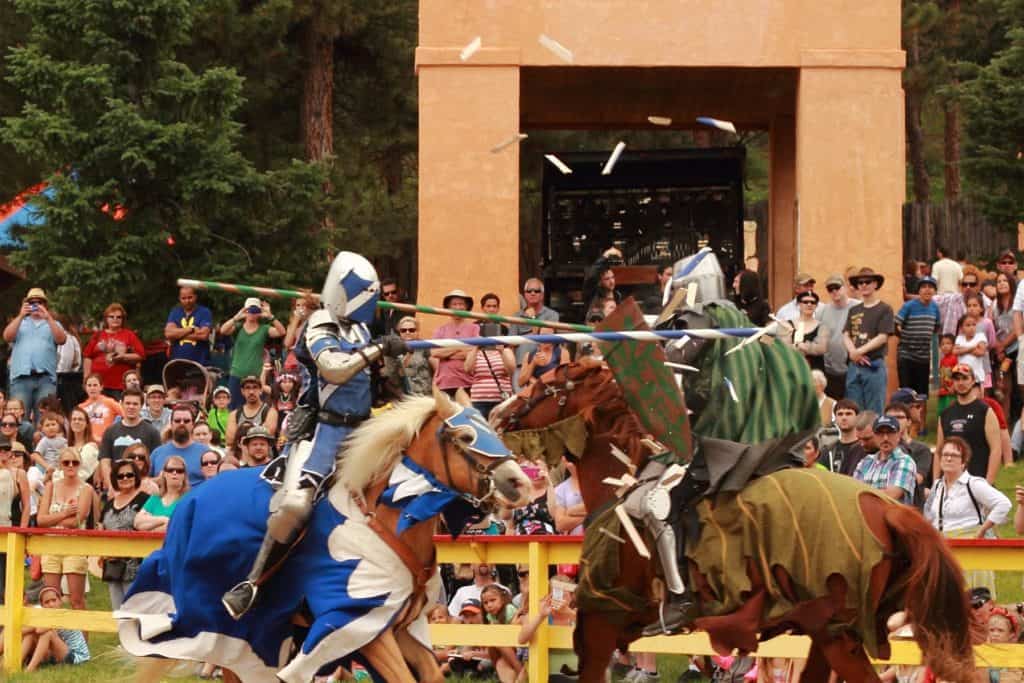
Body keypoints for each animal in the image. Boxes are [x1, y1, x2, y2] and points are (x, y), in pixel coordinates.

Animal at [495, 366, 974, 683]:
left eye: (539, 384)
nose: (498, 413)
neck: (621, 479)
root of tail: (884, 507)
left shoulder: (601, 618)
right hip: (829, 631)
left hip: (836, 633)